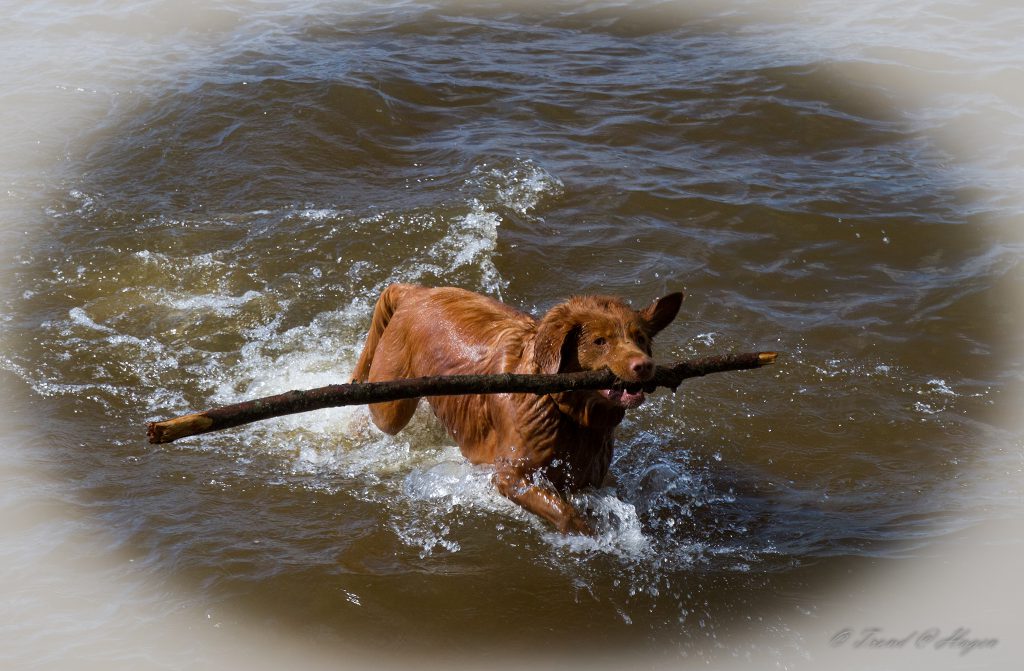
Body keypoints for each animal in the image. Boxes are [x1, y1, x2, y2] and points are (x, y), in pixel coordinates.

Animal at [350, 282, 679, 536]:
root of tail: (416, 291)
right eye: (600, 341)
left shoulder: (588, 479)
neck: (561, 410)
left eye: (640, 338)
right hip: (391, 402)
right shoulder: (510, 475)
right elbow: (565, 512)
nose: (644, 366)